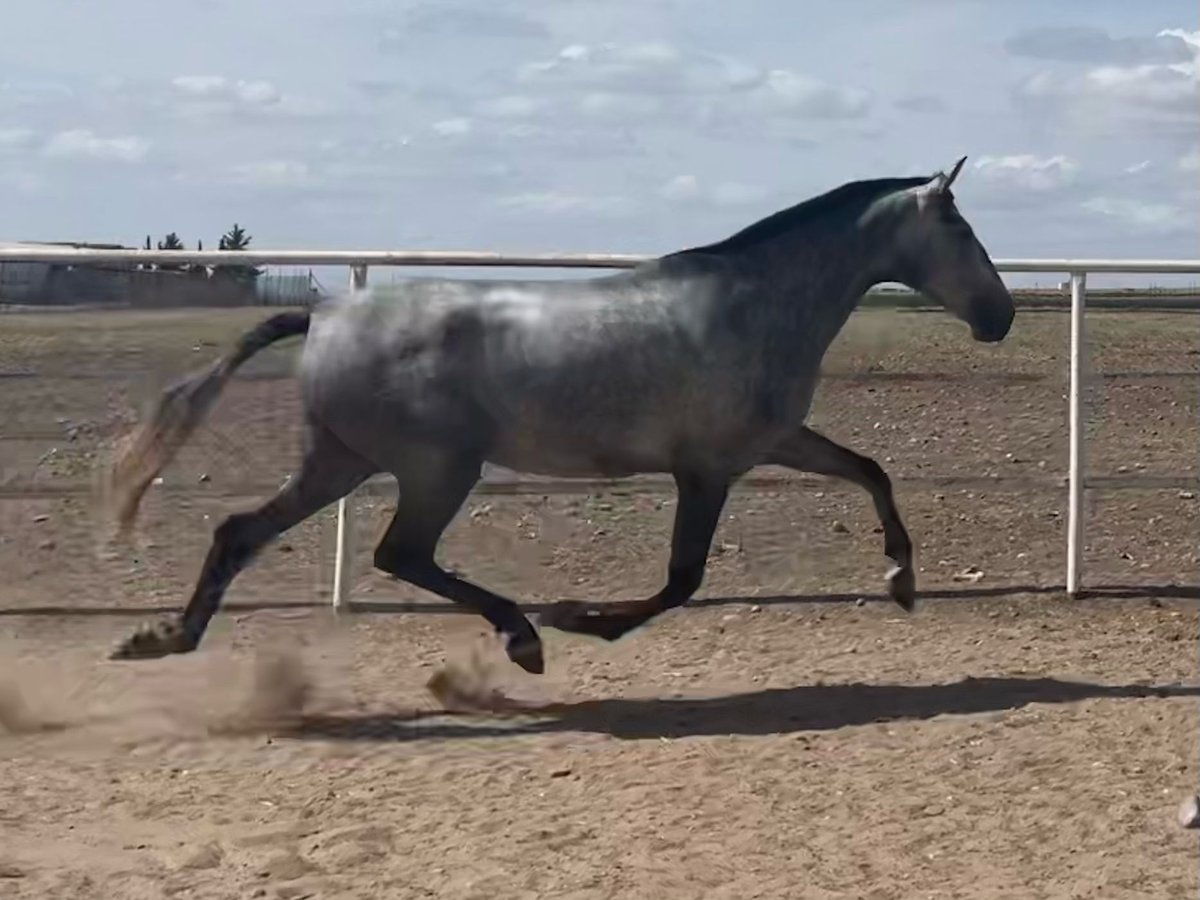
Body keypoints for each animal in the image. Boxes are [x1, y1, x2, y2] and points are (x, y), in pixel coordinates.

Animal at [110, 158, 1012, 672]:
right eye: (963, 228)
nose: (1000, 315)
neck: (752, 303)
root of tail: (325, 315)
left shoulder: (771, 442)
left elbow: (869, 470)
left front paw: (901, 582)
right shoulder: (706, 468)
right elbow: (683, 579)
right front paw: (583, 619)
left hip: (343, 460)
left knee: (242, 533)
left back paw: (162, 639)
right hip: (437, 469)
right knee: (399, 553)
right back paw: (525, 637)